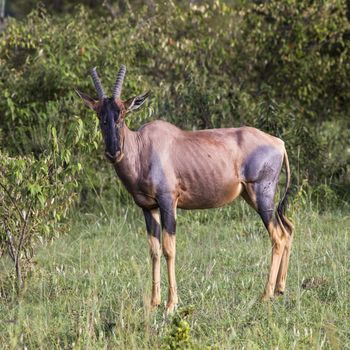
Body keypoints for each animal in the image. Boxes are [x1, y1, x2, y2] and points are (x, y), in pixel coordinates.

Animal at [76, 64, 292, 314]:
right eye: (99, 115)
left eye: (122, 114)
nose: (113, 152)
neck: (143, 147)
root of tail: (279, 143)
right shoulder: (148, 208)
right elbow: (153, 250)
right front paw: (154, 303)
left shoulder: (168, 202)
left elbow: (169, 248)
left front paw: (171, 305)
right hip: (252, 196)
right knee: (287, 230)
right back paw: (280, 289)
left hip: (262, 196)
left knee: (278, 236)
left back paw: (265, 296)